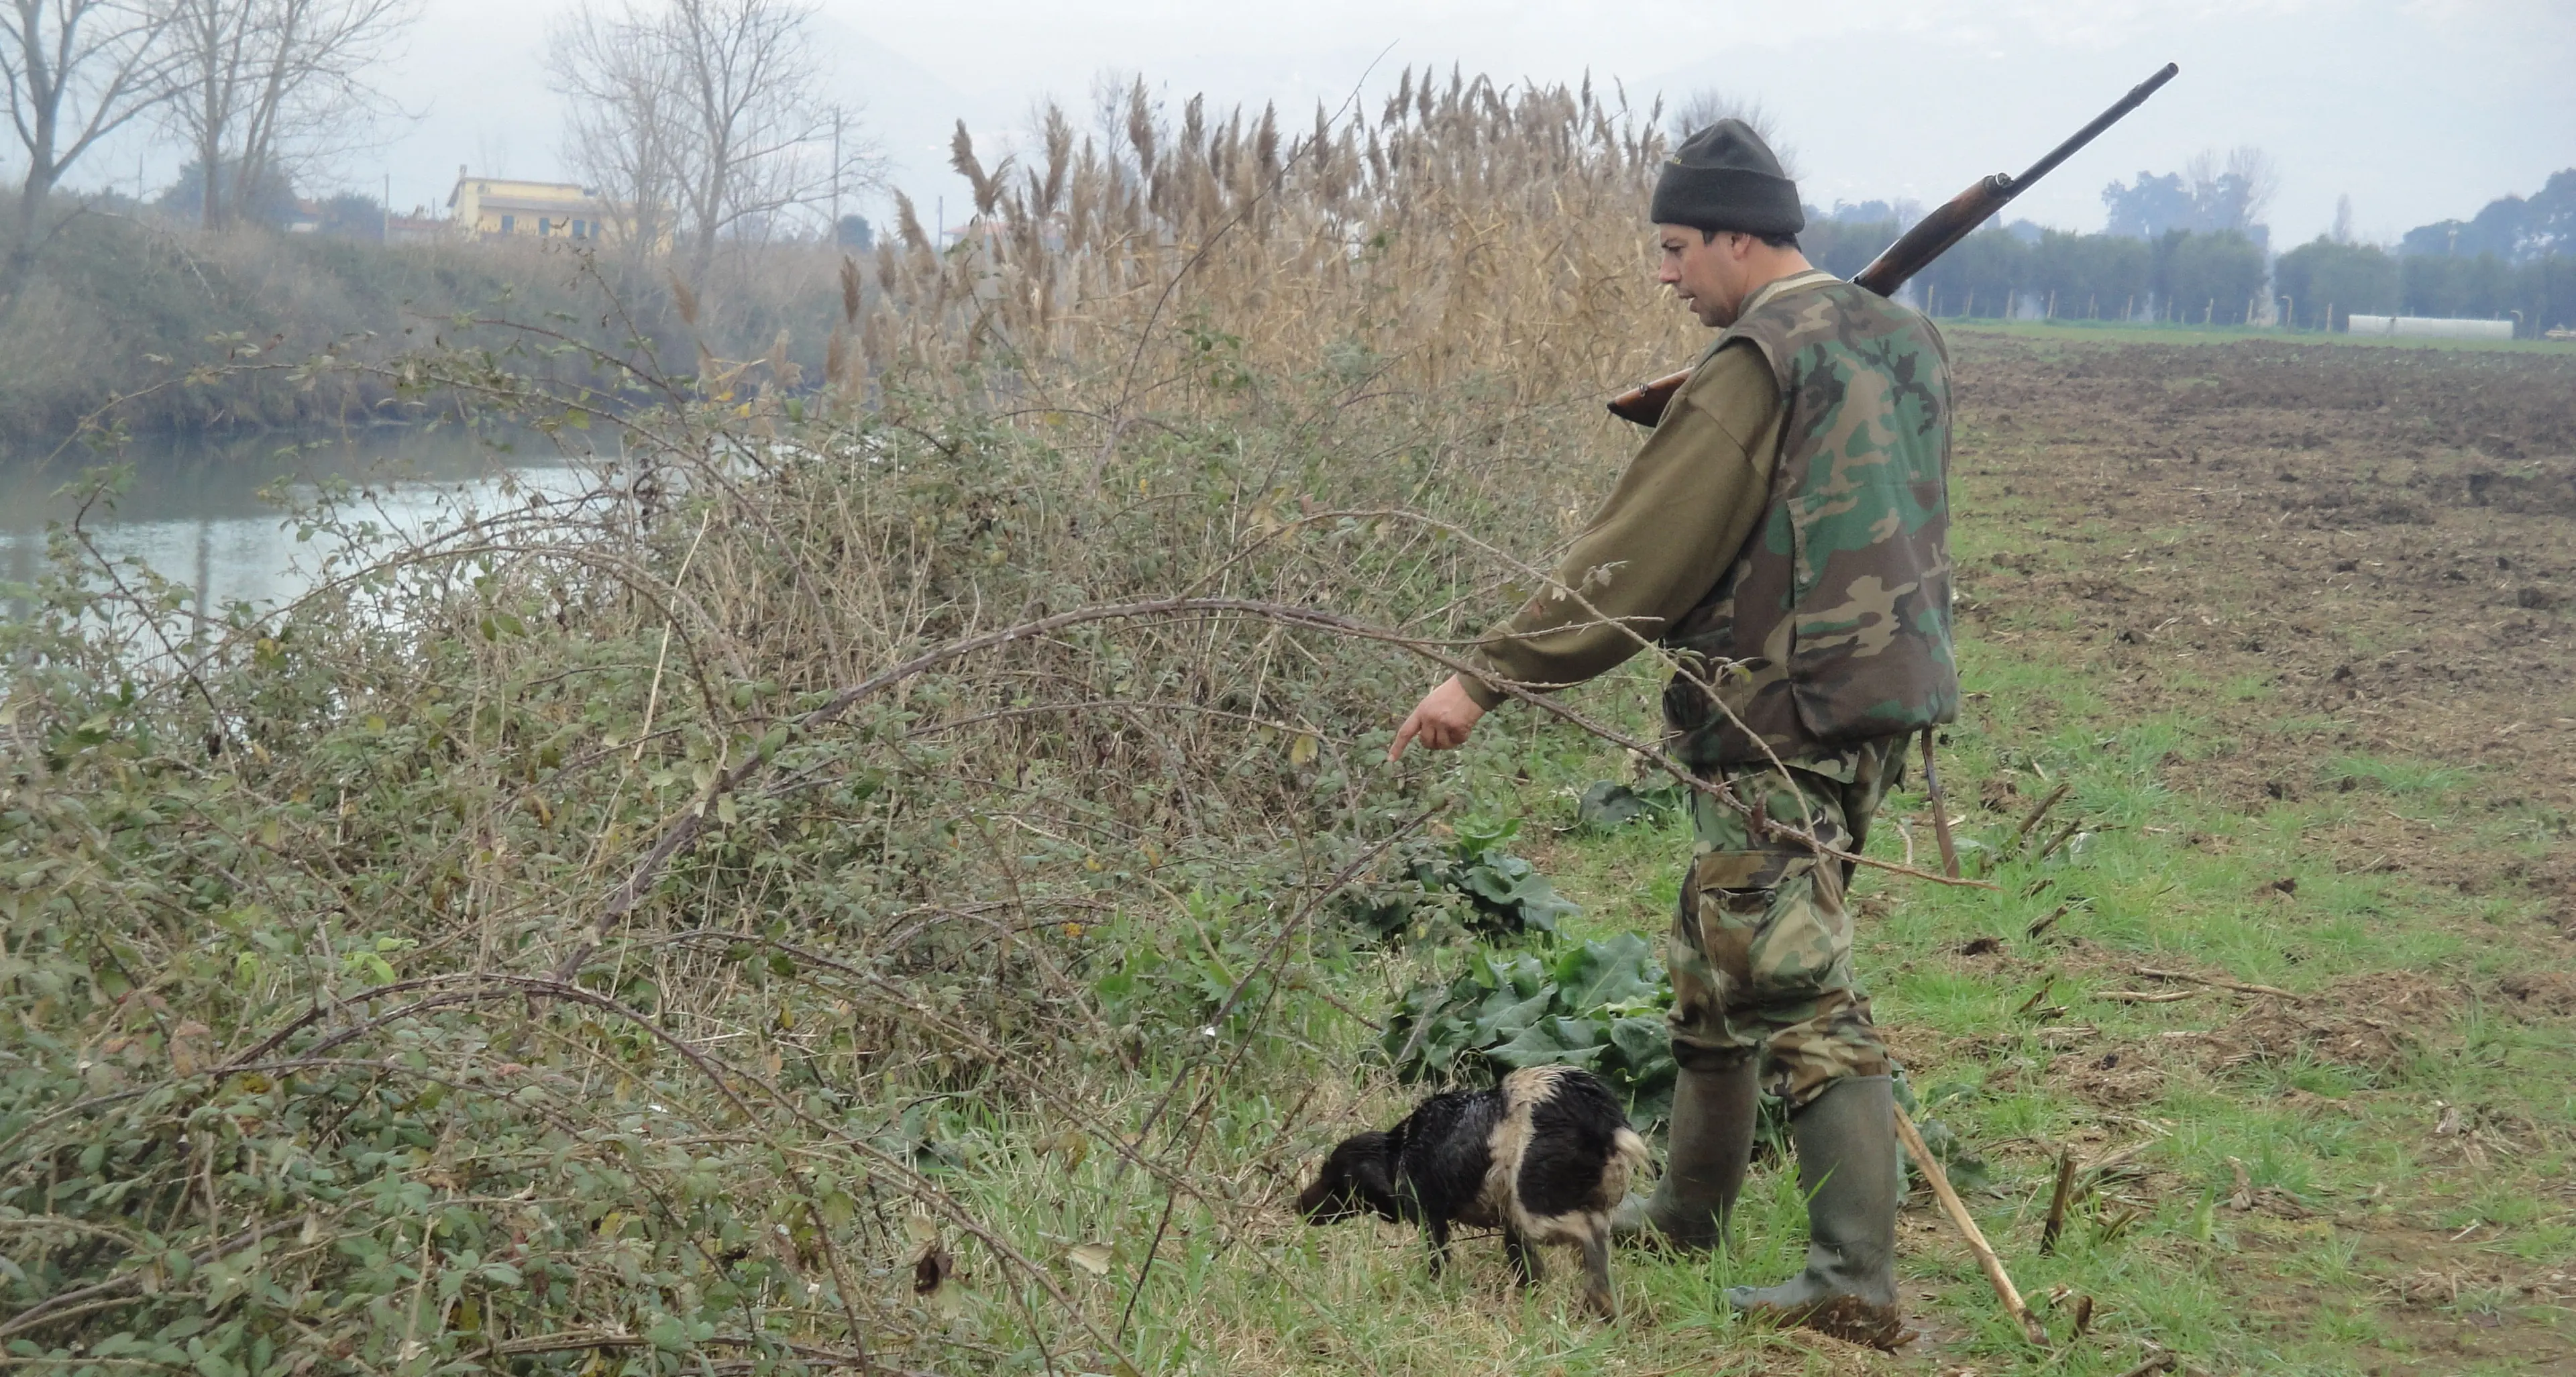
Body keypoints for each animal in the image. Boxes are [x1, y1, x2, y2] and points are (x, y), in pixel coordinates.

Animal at [1298, 1065, 1638, 1313]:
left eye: (1334, 1180)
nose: (1296, 1205)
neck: (1401, 1150)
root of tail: (1599, 1114)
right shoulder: (1510, 1225)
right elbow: (1525, 1265)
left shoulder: (1431, 1218)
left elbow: (1437, 1261)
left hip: (1536, 1206)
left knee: (1590, 1233)